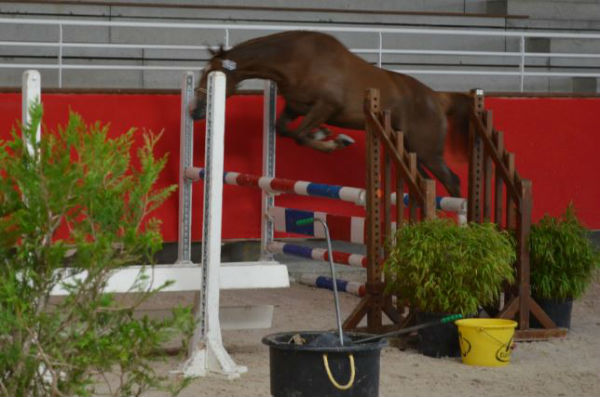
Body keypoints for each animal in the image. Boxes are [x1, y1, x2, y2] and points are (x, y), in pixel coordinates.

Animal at [190, 29, 472, 196]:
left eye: (211, 74)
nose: (195, 112)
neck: (296, 60)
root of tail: (437, 98)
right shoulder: (295, 106)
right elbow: (283, 129)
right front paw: (325, 135)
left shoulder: (326, 106)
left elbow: (299, 135)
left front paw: (333, 141)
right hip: (409, 151)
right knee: (425, 182)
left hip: (427, 151)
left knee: (452, 181)